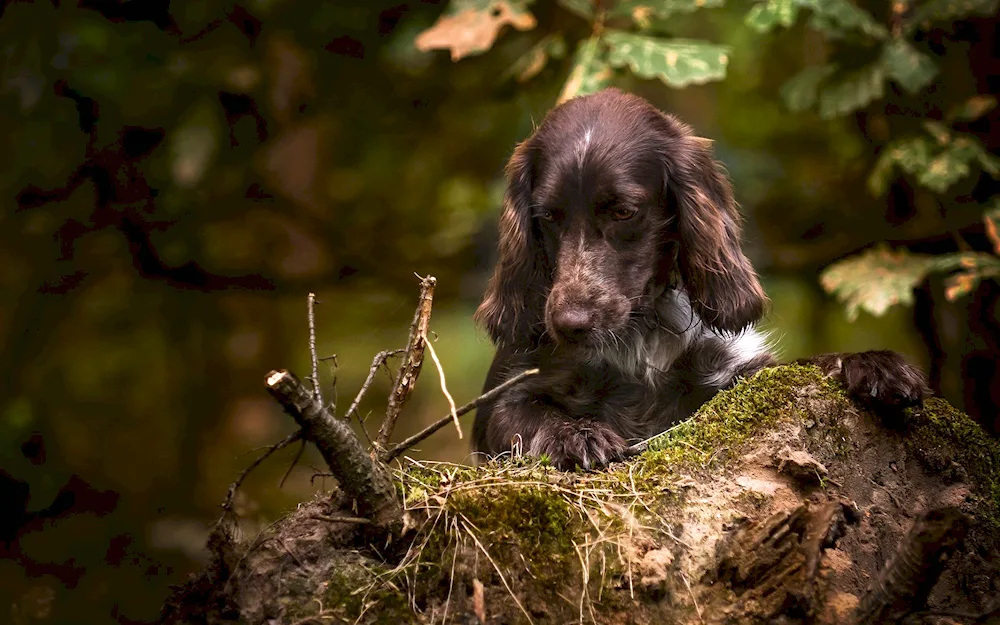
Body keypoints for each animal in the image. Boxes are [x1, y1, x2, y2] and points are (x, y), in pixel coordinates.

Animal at [468, 88, 928, 468]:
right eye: (548, 216)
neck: (639, 338)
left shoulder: (734, 374)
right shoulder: (502, 401)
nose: (570, 325)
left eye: (623, 212)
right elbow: (527, 415)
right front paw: (579, 436)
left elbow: (804, 366)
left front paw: (872, 365)